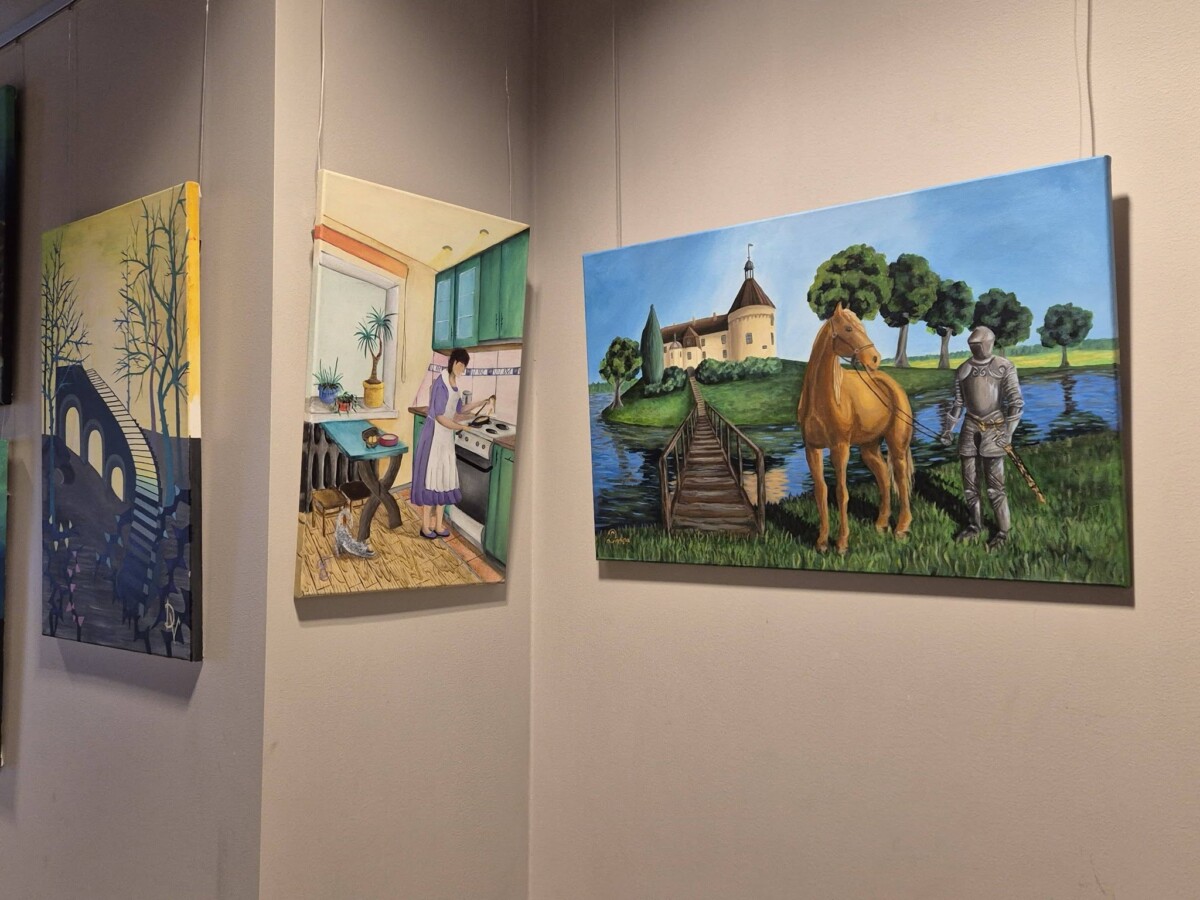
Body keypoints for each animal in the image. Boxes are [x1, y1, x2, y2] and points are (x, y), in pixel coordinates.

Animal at [797, 303, 914, 554]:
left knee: (900, 478)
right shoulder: (812, 449)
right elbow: (821, 491)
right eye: (849, 328)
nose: (875, 358)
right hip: (869, 448)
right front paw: (822, 542)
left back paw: (901, 528)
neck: (823, 398)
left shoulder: (840, 449)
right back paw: (881, 524)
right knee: (883, 476)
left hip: (897, 445)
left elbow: (842, 493)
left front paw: (841, 543)